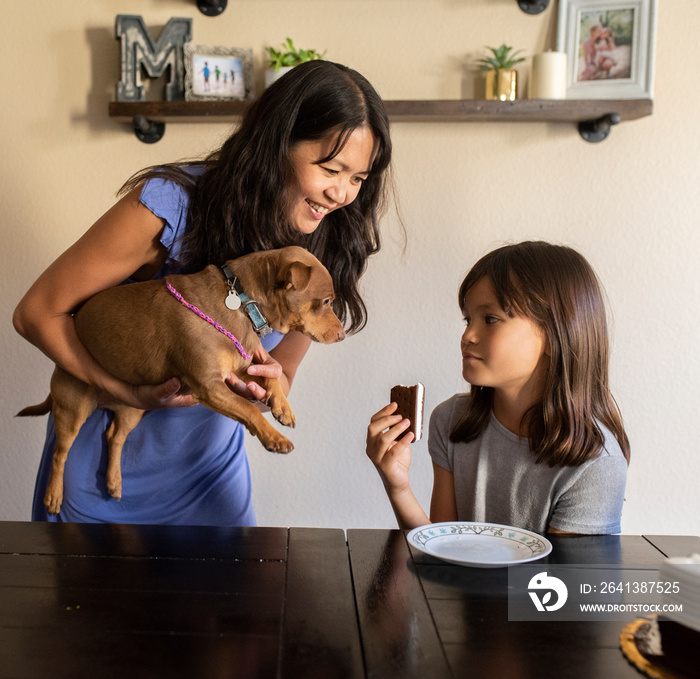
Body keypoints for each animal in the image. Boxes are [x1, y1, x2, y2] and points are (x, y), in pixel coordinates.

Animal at [16, 247, 344, 512]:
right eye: (327, 301)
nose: (343, 334)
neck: (243, 303)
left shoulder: (240, 369)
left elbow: (270, 380)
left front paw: (282, 407)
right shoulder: (209, 386)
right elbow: (249, 409)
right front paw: (274, 438)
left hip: (132, 408)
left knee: (114, 437)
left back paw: (114, 481)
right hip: (73, 409)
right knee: (60, 453)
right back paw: (54, 495)